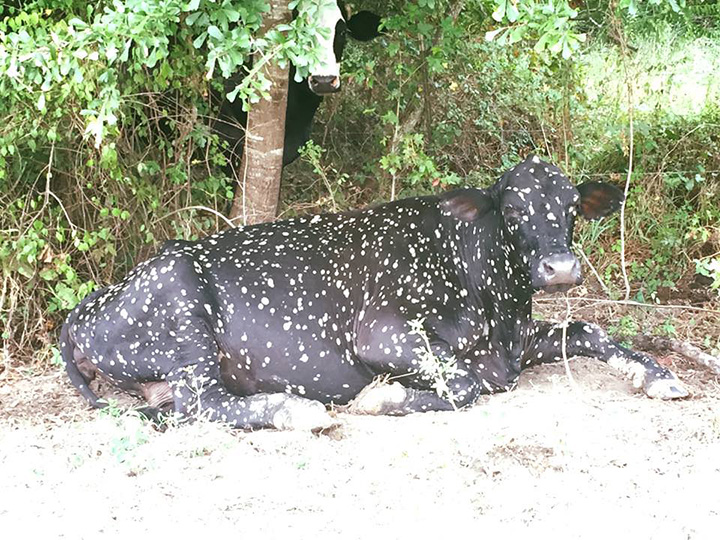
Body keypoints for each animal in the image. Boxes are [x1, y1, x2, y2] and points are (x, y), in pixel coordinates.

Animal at [60, 156, 688, 430]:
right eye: (511, 210)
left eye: (572, 208)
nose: (559, 268)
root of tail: (87, 304)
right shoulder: (381, 333)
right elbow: (463, 384)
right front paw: (380, 399)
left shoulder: (514, 344)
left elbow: (589, 329)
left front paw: (658, 375)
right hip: (183, 304)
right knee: (202, 404)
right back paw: (293, 409)